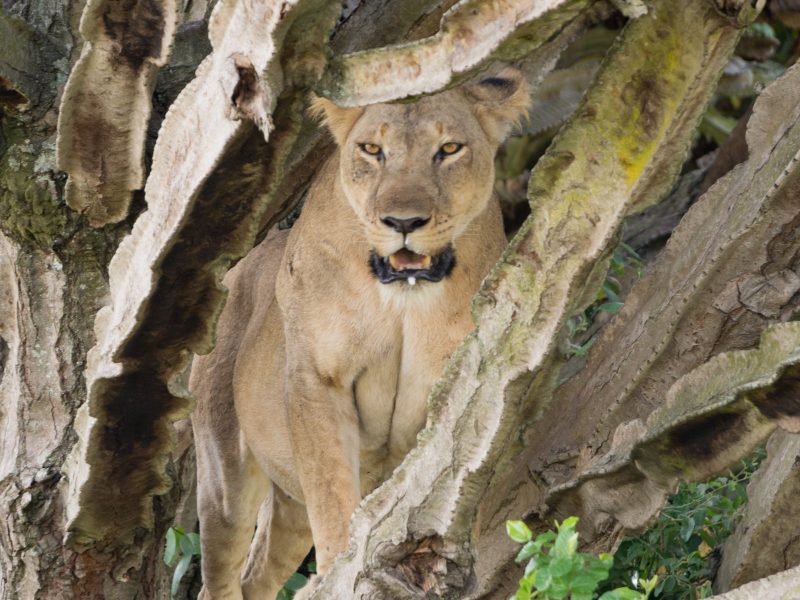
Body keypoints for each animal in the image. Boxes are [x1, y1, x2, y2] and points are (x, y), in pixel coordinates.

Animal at [190, 67, 529, 599]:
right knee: (220, 579)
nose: (404, 222)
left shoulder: (470, 371)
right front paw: (339, 569)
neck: (403, 299)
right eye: (372, 150)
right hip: (223, 478)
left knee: (257, 577)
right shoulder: (315, 378)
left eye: (449, 149)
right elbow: (332, 491)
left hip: (287, 507)